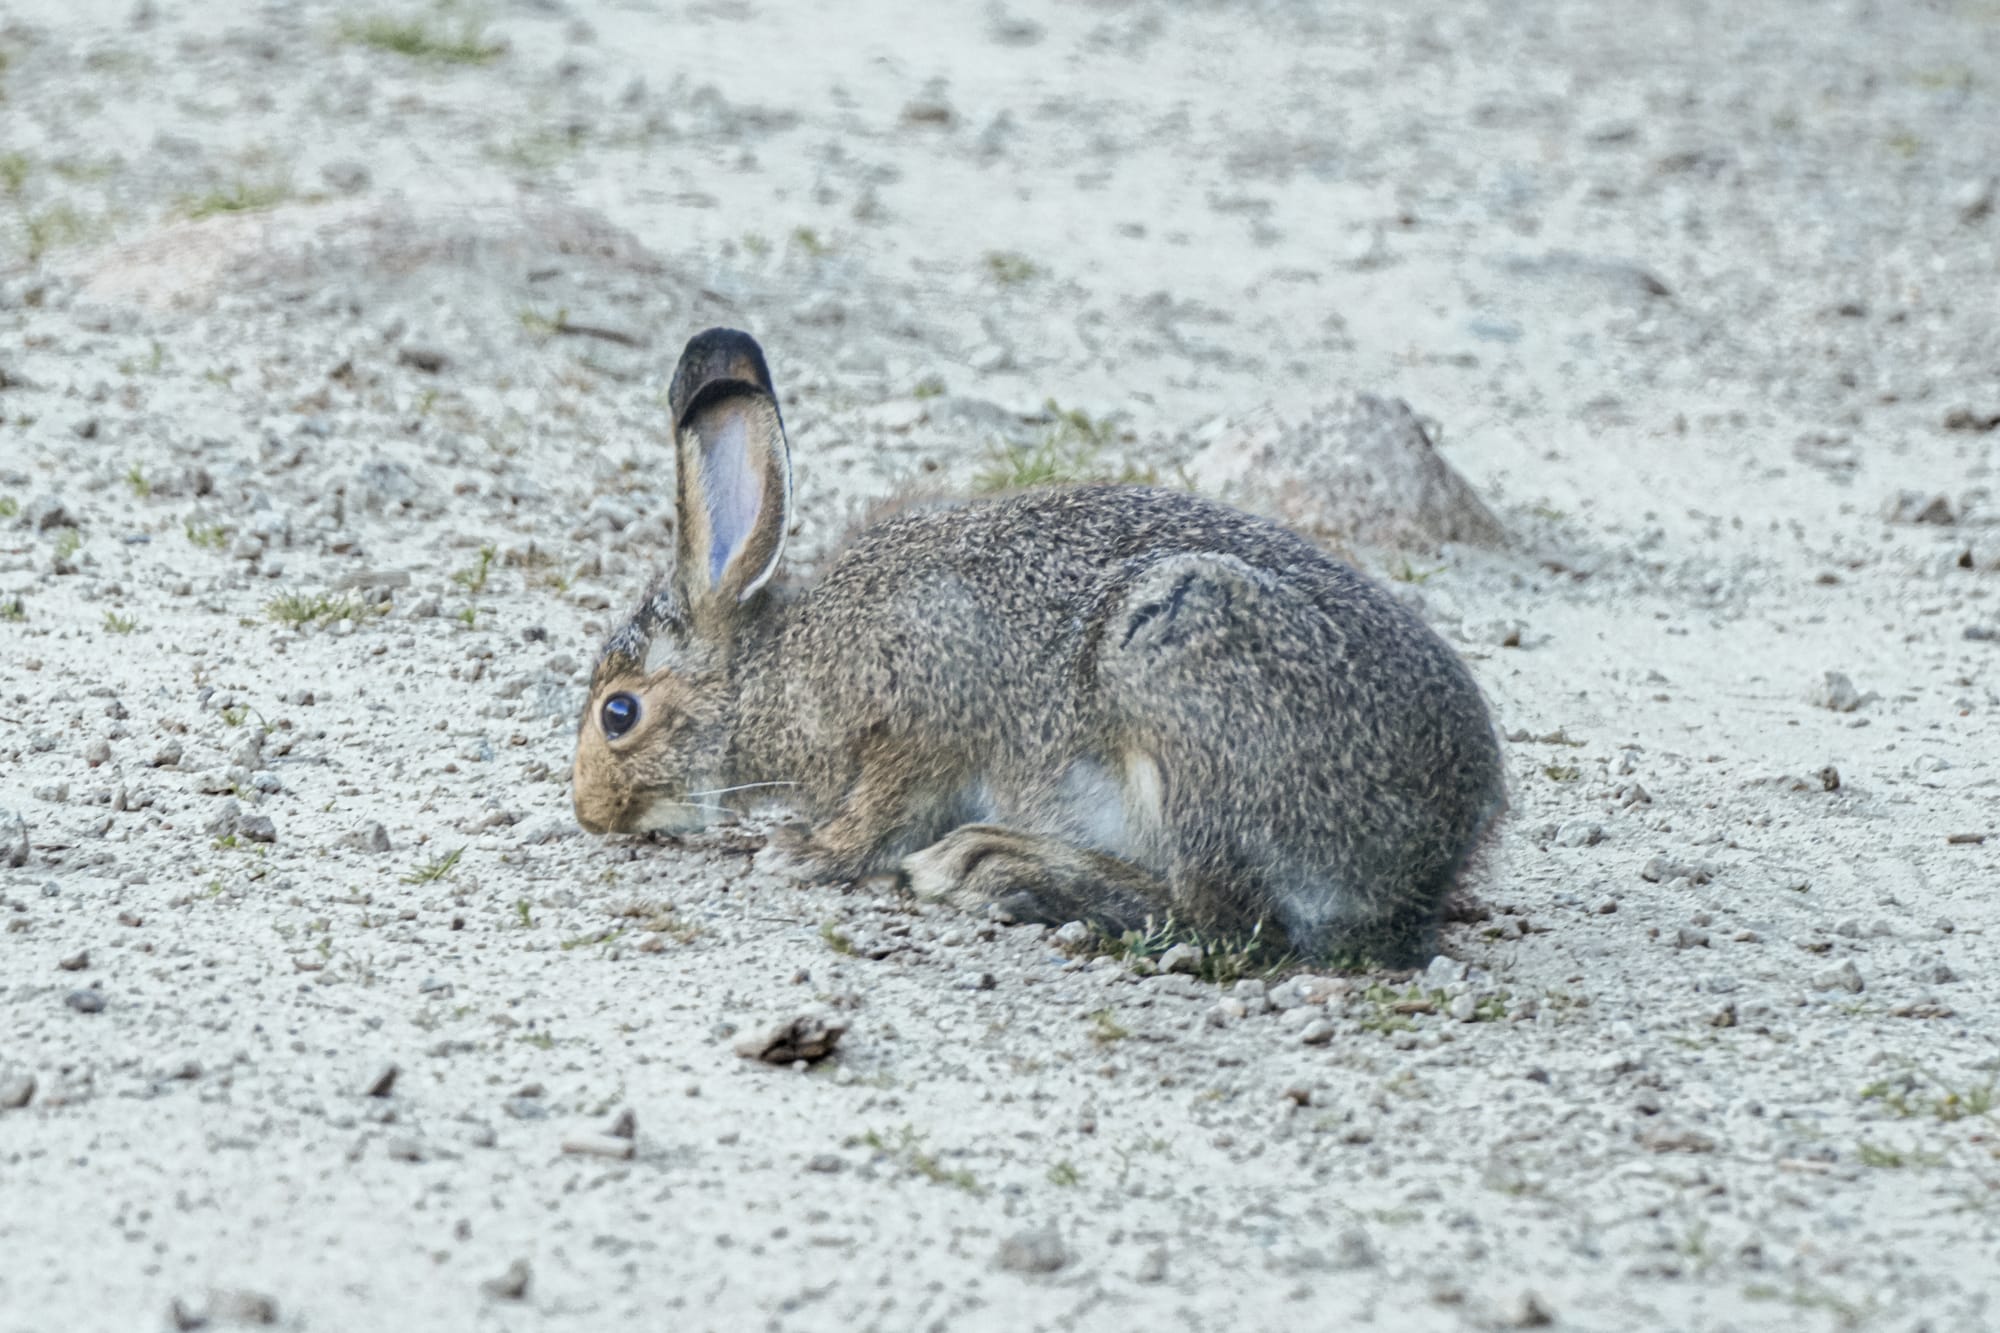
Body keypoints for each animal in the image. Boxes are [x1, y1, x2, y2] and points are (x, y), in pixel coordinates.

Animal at [571, 327, 1506, 967]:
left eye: (619, 713)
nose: (588, 810)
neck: (776, 669)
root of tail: (1434, 851)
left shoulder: (927, 710)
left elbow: (882, 811)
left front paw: (806, 853)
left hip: (1173, 659)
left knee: (1227, 917)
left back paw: (990, 865)